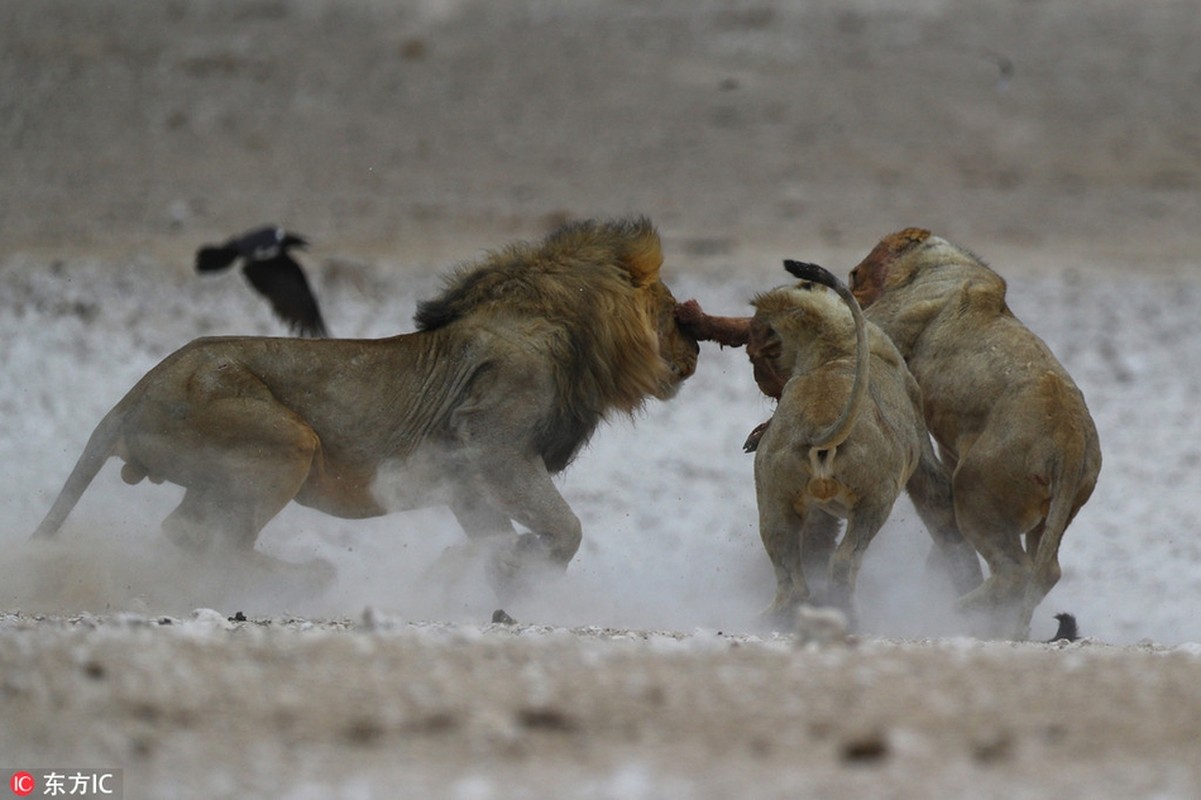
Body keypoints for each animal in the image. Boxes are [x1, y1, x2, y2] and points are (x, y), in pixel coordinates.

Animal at [30, 215, 701, 588]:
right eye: (675, 314)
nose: (696, 348)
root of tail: (132, 395)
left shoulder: (465, 478)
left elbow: (491, 534)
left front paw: (495, 567)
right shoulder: (494, 445)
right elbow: (566, 526)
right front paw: (526, 568)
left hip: (221, 472)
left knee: (184, 532)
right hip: (284, 440)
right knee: (213, 541)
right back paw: (308, 579)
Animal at [682, 261, 980, 624]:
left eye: (755, 356)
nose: (759, 380)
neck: (834, 343)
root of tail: (819, 428)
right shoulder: (922, 456)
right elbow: (942, 513)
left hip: (773, 505)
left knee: (793, 583)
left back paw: (767, 619)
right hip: (874, 500)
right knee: (843, 562)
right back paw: (851, 618)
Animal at [850, 227, 1100, 639]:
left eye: (858, 274)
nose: (853, 282)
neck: (944, 262)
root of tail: (1070, 442)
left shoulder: (887, 321)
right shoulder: (951, 450)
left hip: (977, 491)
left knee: (1016, 571)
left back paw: (952, 615)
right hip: (1057, 510)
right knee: (1046, 570)